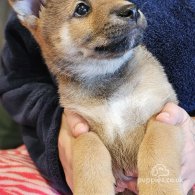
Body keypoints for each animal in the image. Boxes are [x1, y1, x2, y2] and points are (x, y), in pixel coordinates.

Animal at [9, 0, 184, 194]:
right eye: (82, 8)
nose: (132, 10)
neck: (107, 77)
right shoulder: (82, 128)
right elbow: (89, 153)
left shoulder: (162, 114)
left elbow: (155, 148)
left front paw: (160, 189)